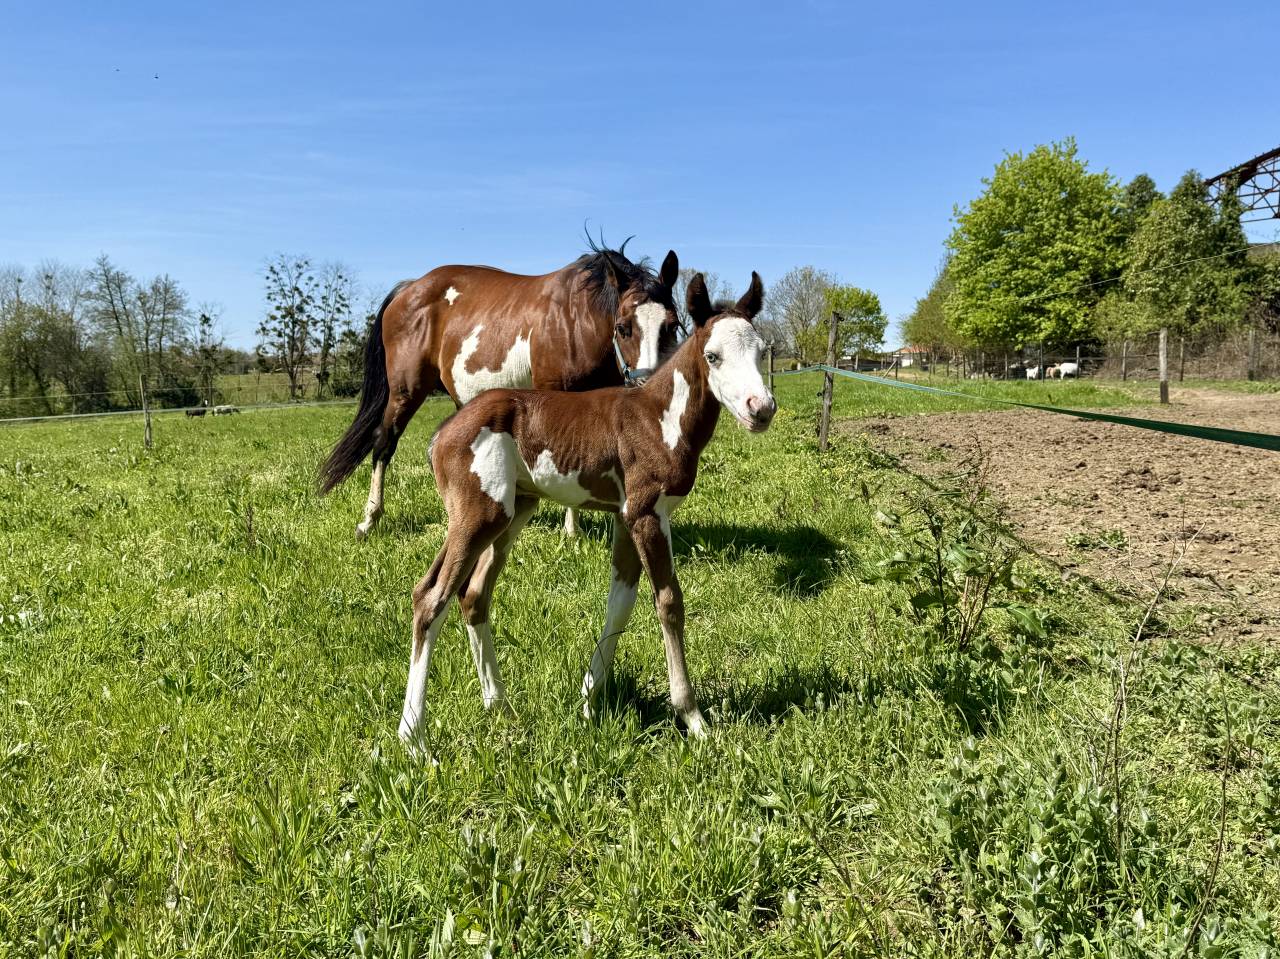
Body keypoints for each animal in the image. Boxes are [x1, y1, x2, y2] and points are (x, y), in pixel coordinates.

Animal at [318, 242, 682, 539]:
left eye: (673, 325)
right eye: (623, 327)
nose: (651, 384)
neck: (579, 320)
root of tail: (409, 288)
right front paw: (572, 533)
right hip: (405, 391)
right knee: (384, 443)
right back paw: (370, 519)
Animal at [397, 271, 774, 747]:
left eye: (761, 351)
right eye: (714, 356)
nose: (761, 409)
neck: (659, 418)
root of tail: (441, 433)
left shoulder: (628, 516)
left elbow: (621, 601)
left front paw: (589, 701)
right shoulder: (645, 513)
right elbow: (669, 602)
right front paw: (694, 719)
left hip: (514, 510)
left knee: (474, 592)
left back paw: (499, 705)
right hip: (478, 514)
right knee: (431, 597)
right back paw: (413, 740)